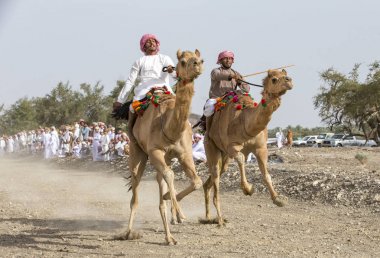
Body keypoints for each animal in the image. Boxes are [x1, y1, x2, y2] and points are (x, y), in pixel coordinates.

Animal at [116, 49, 203, 245]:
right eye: (183, 61)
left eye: (200, 59)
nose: (197, 65)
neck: (169, 127)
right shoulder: (155, 151)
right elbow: (169, 176)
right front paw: (179, 212)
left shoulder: (185, 153)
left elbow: (197, 182)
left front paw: (175, 210)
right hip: (137, 151)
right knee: (136, 187)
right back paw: (128, 232)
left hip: (166, 158)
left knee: (161, 179)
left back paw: (169, 233)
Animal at [203, 69, 292, 226]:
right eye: (274, 79)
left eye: (285, 75)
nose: (289, 81)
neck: (244, 121)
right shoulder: (232, 146)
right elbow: (241, 159)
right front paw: (248, 189)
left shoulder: (261, 148)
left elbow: (266, 174)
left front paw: (278, 199)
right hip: (211, 146)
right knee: (215, 177)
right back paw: (220, 220)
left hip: (224, 156)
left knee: (213, 179)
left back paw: (208, 217)